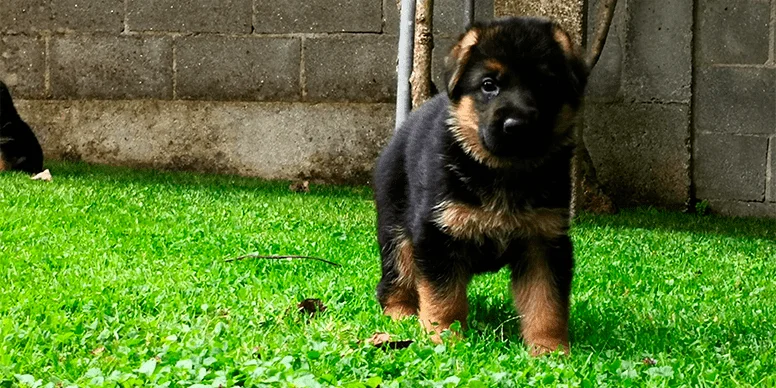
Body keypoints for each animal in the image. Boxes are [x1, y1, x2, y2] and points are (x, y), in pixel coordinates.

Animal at [376, 16, 588, 354]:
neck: (504, 171)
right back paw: (402, 314)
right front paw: (445, 337)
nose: (517, 126)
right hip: (396, 229)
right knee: (395, 276)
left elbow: (546, 302)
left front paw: (550, 350)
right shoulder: (437, 235)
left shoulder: (545, 241)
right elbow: (443, 297)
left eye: (544, 84)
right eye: (489, 85)